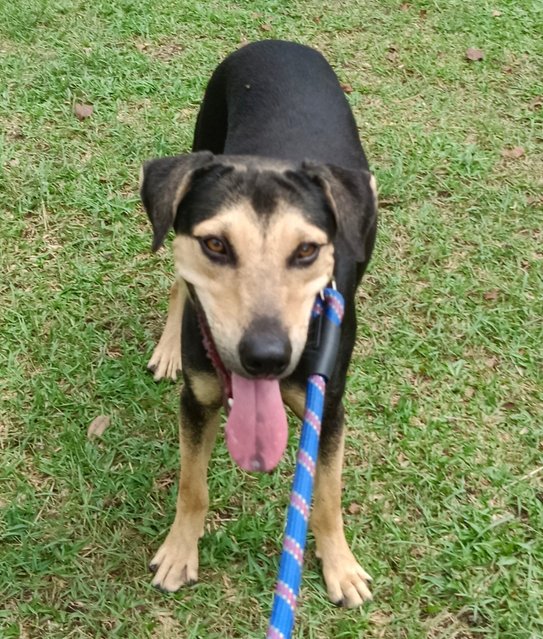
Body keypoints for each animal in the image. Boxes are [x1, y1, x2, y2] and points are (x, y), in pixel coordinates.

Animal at [140, 40, 378, 608]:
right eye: (215, 244)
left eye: (308, 250)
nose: (265, 358)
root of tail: (278, 43)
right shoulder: (197, 400)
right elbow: (192, 485)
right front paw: (180, 551)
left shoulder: (328, 407)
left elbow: (327, 494)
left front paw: (341, 566)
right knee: (176, 281)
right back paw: (169, 347)